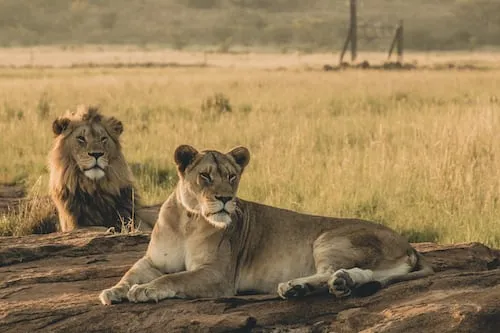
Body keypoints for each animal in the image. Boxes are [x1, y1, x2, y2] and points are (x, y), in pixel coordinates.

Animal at [98, 143, 434, 304]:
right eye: (205, 176)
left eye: (232, 176)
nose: (225, 198)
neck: (188, 220)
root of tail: (409, 246)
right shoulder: (153, 260)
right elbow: (131, 273)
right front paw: (114, 291)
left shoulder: (218, 275)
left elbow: (174, 278)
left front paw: (145, 290)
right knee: (360, 274)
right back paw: (337, 284)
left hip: (330, 238)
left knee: (329, 271)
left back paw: (296, 287)